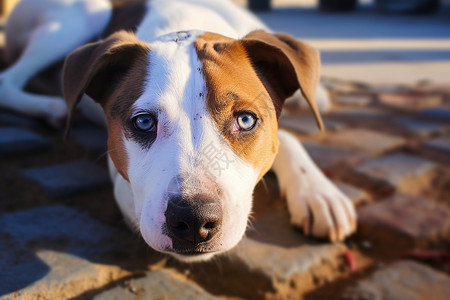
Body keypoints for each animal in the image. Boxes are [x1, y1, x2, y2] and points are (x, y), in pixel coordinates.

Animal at [0, 0, 356, 262]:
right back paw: (53, 108)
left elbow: (289, 139)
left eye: (245, 120)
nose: (195, 219)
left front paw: (319, 193)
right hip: (83, 15)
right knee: (8, 80)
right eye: (143, 122)